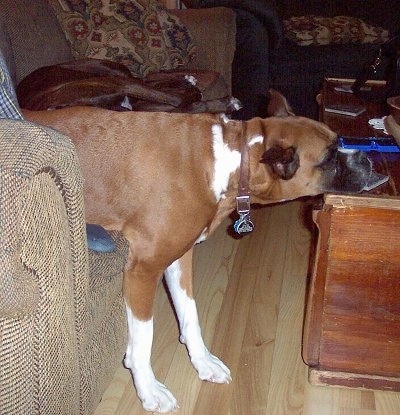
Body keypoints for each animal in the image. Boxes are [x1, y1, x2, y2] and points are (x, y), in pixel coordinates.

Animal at [21, 107, 372, 412]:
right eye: (329, 156)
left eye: (339, 141)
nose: (368, 158)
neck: (229, 158)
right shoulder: (143, 270)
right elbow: (143, 338)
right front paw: (148, 389)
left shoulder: (179, 260)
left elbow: (190, 315)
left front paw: (202, 361)